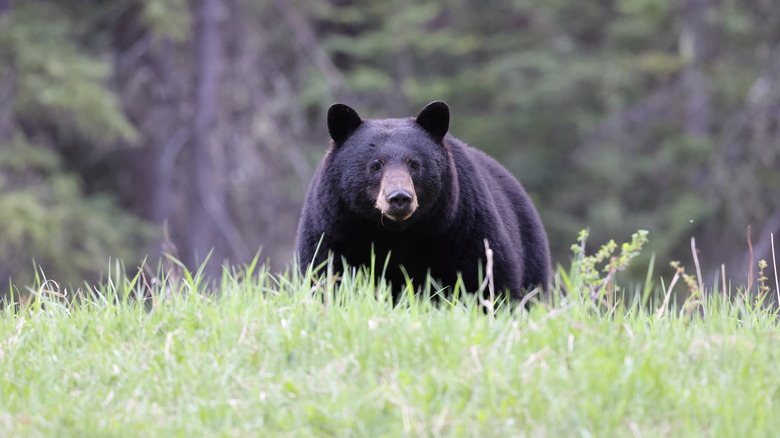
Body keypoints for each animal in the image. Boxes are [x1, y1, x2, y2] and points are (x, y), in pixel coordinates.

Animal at [296, 100, 552, 302]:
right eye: (375, 165)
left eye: (414, 164)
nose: (399, 197)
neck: (396, 233)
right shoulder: (334, 231)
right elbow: (324, 275)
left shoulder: (464, 227)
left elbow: (487, 278)